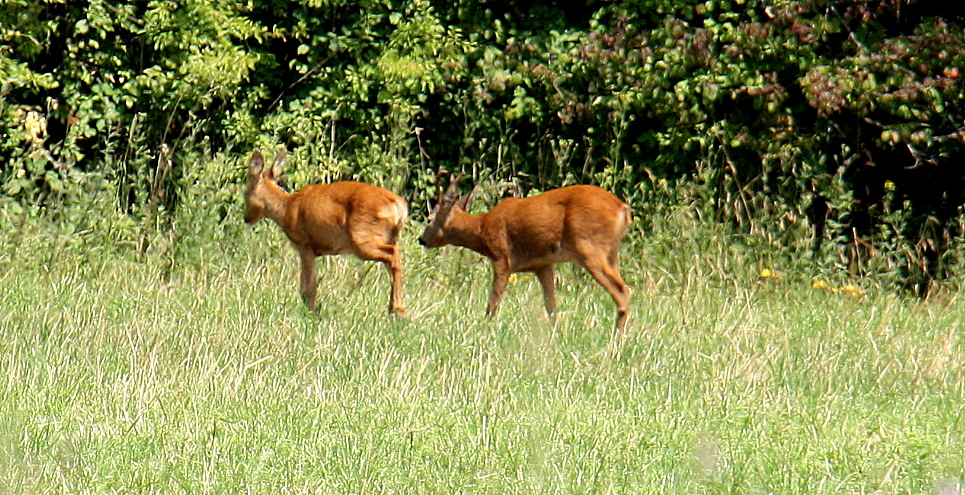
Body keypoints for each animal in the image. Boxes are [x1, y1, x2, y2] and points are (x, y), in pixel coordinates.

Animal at [245, 149, 406, 316]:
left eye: (246, 192)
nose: (246, 218)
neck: (286, 209)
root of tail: (399, 205)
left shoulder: (305, 243)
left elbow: (308, 287)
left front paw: (309, 313)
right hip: (388, 237)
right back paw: (396, 310)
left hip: (362, 238)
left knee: (394, 255)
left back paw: (397, 310)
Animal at [416, 174, 628, 334]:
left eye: (430, 218)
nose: (421, 239)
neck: (482, 229)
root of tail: (622, 209)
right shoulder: (543, 265)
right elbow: (551, 306)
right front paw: (555, 336)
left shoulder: (502, 257)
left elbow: (493, 302)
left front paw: (484, 329)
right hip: (611, 253)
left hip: (589, 247)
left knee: (622, 291)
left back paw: (617, 340)